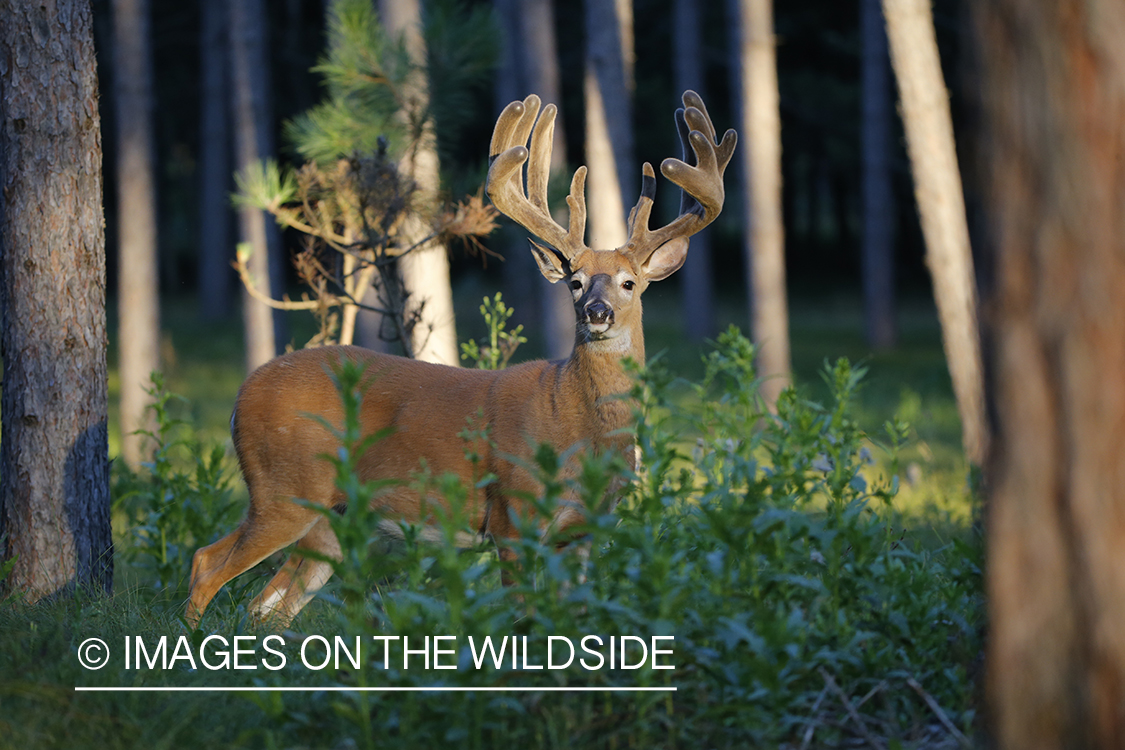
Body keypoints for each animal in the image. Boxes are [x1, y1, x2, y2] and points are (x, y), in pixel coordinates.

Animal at [186, 89, 738, 629]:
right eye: (575, 282)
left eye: (629, 283)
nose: (597, 313)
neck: (579, 425)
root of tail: (239, 397)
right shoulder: (513, 514)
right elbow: (524, 618)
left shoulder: (585, 530)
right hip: (283, 488)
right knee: (206, 564)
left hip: (328, 521)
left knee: (266, 608)